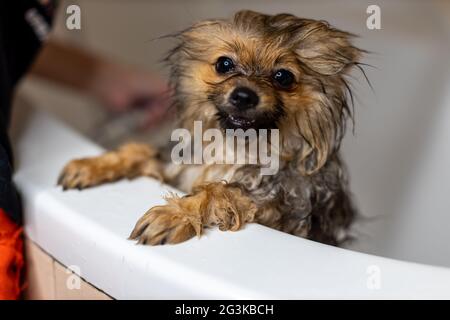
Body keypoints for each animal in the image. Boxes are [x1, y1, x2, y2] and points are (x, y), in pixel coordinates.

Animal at [58, 9, 364, 245]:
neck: (237, 147)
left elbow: (220, 191)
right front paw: (91, 165)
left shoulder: (285, 212)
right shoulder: (177, 168)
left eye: (283, 77)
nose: (244, 95)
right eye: (224, 64)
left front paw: (175, 214)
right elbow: (139, 151)